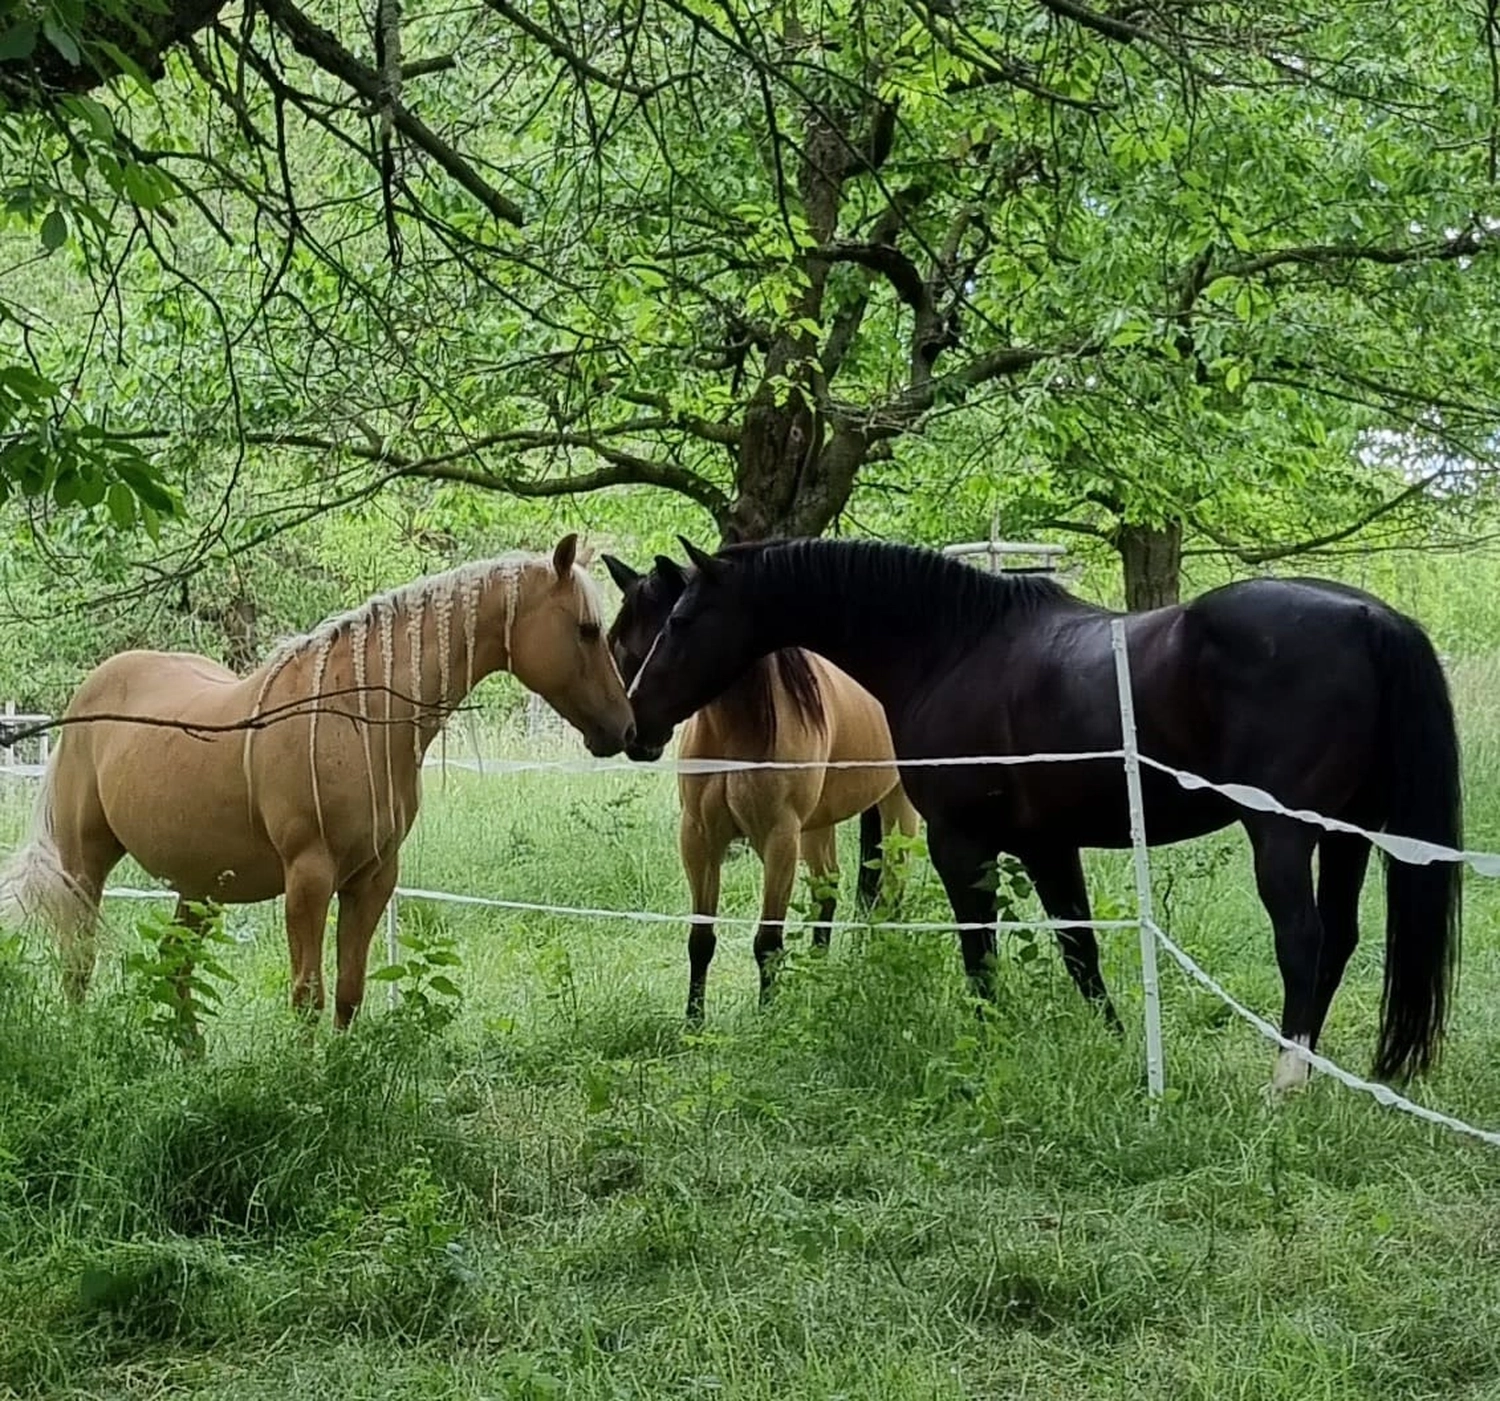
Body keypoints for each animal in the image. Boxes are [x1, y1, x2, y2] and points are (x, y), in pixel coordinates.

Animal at [0, 534, 635, 1028]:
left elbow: (350, 993)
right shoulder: (308, 877)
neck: (356, 719)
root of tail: (90, 692)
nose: (625, 729)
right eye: (586, 629)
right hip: (84, 863)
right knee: (78, 964)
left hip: (199, 885)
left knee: (175, 969)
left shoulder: (373, 879)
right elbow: (308, 995)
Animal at [603, 552, 920, 1022]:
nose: (639, 734)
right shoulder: (699, 837)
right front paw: (693, 1022)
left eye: (670, 629)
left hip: (895, 809)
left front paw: (767, 1018)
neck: (736, 731)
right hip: (819, 825)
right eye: (616, 642)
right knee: (829, 888)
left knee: (889, 893)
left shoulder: (779, 838)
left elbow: (768, 941)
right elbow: (701, 939)